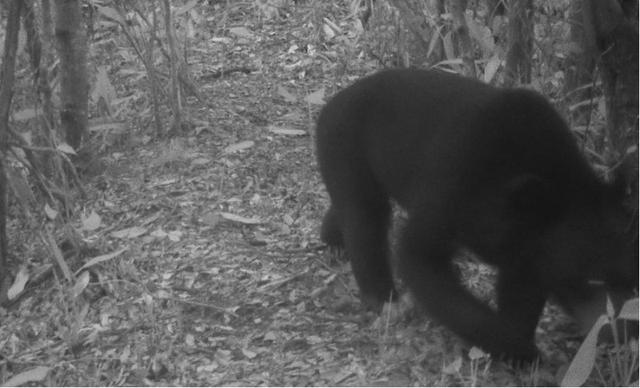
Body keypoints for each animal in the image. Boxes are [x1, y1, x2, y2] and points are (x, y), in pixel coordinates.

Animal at [316, 69, 640, 360]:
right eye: (593, 281)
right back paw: (384, 299)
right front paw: (517, 347)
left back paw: (332, 238)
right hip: (344, 144)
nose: (625, 331)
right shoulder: (456, 183)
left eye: (632, 281)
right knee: (363, 216)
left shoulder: (526, 244)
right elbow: (420, 256)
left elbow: (520, 285)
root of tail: (336, 99)